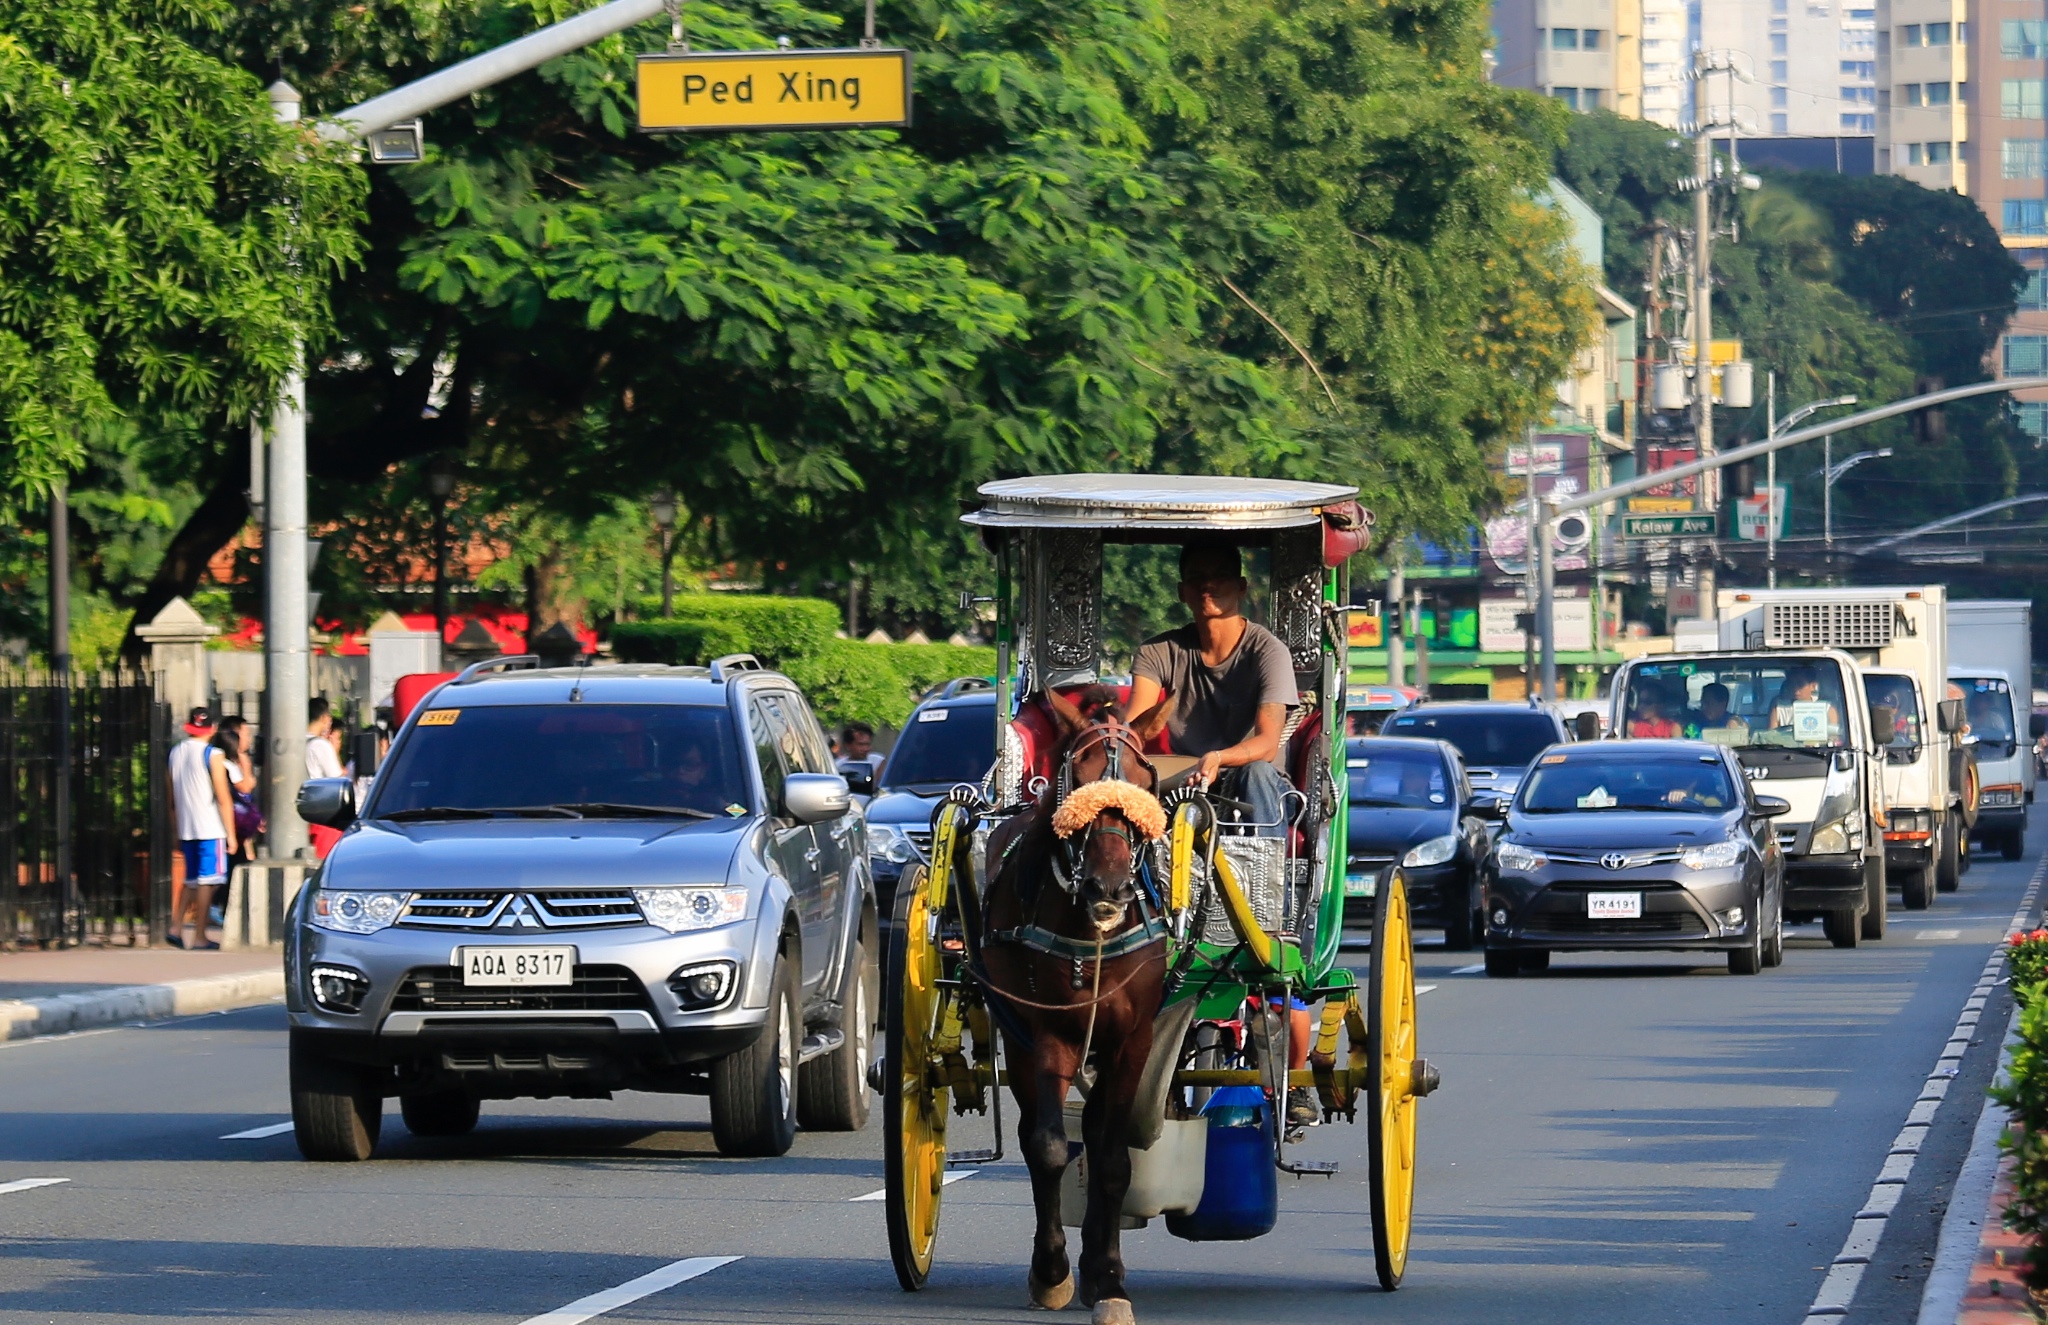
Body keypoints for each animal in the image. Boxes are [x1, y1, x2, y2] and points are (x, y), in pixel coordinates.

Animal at [983, 688, 1179, 1318]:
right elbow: (1048, 1147)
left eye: (1144, 779)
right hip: (1018, 1035)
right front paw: (1052, 1272)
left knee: (1096, 1135)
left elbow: (1113, 1157)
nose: (1109, 888)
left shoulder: (1132, 1040)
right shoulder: (1049, 1036)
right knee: (1037, 1133)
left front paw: (1109, 1277)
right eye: (1081, 776)